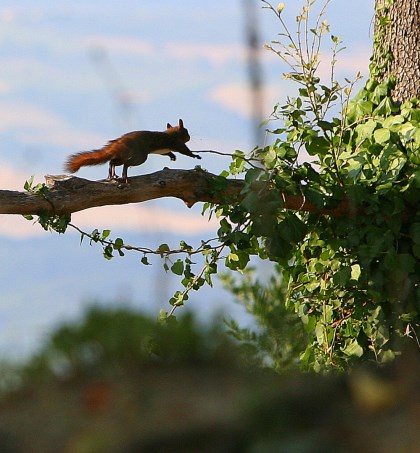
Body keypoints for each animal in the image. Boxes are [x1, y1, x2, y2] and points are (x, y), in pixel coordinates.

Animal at [65, 120, 201, 184]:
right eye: (186, 131)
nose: (189, 137)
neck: (172, 134)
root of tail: (119, 142)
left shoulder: (164, 150)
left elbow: (166, 153)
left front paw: (172, 156)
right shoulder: (176, 143)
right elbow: (185, 151)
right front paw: (195, 155)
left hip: (124, 155)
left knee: (113, 161)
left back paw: (112, 174)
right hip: (140, 156)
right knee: (125, 164)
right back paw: (123, 176)